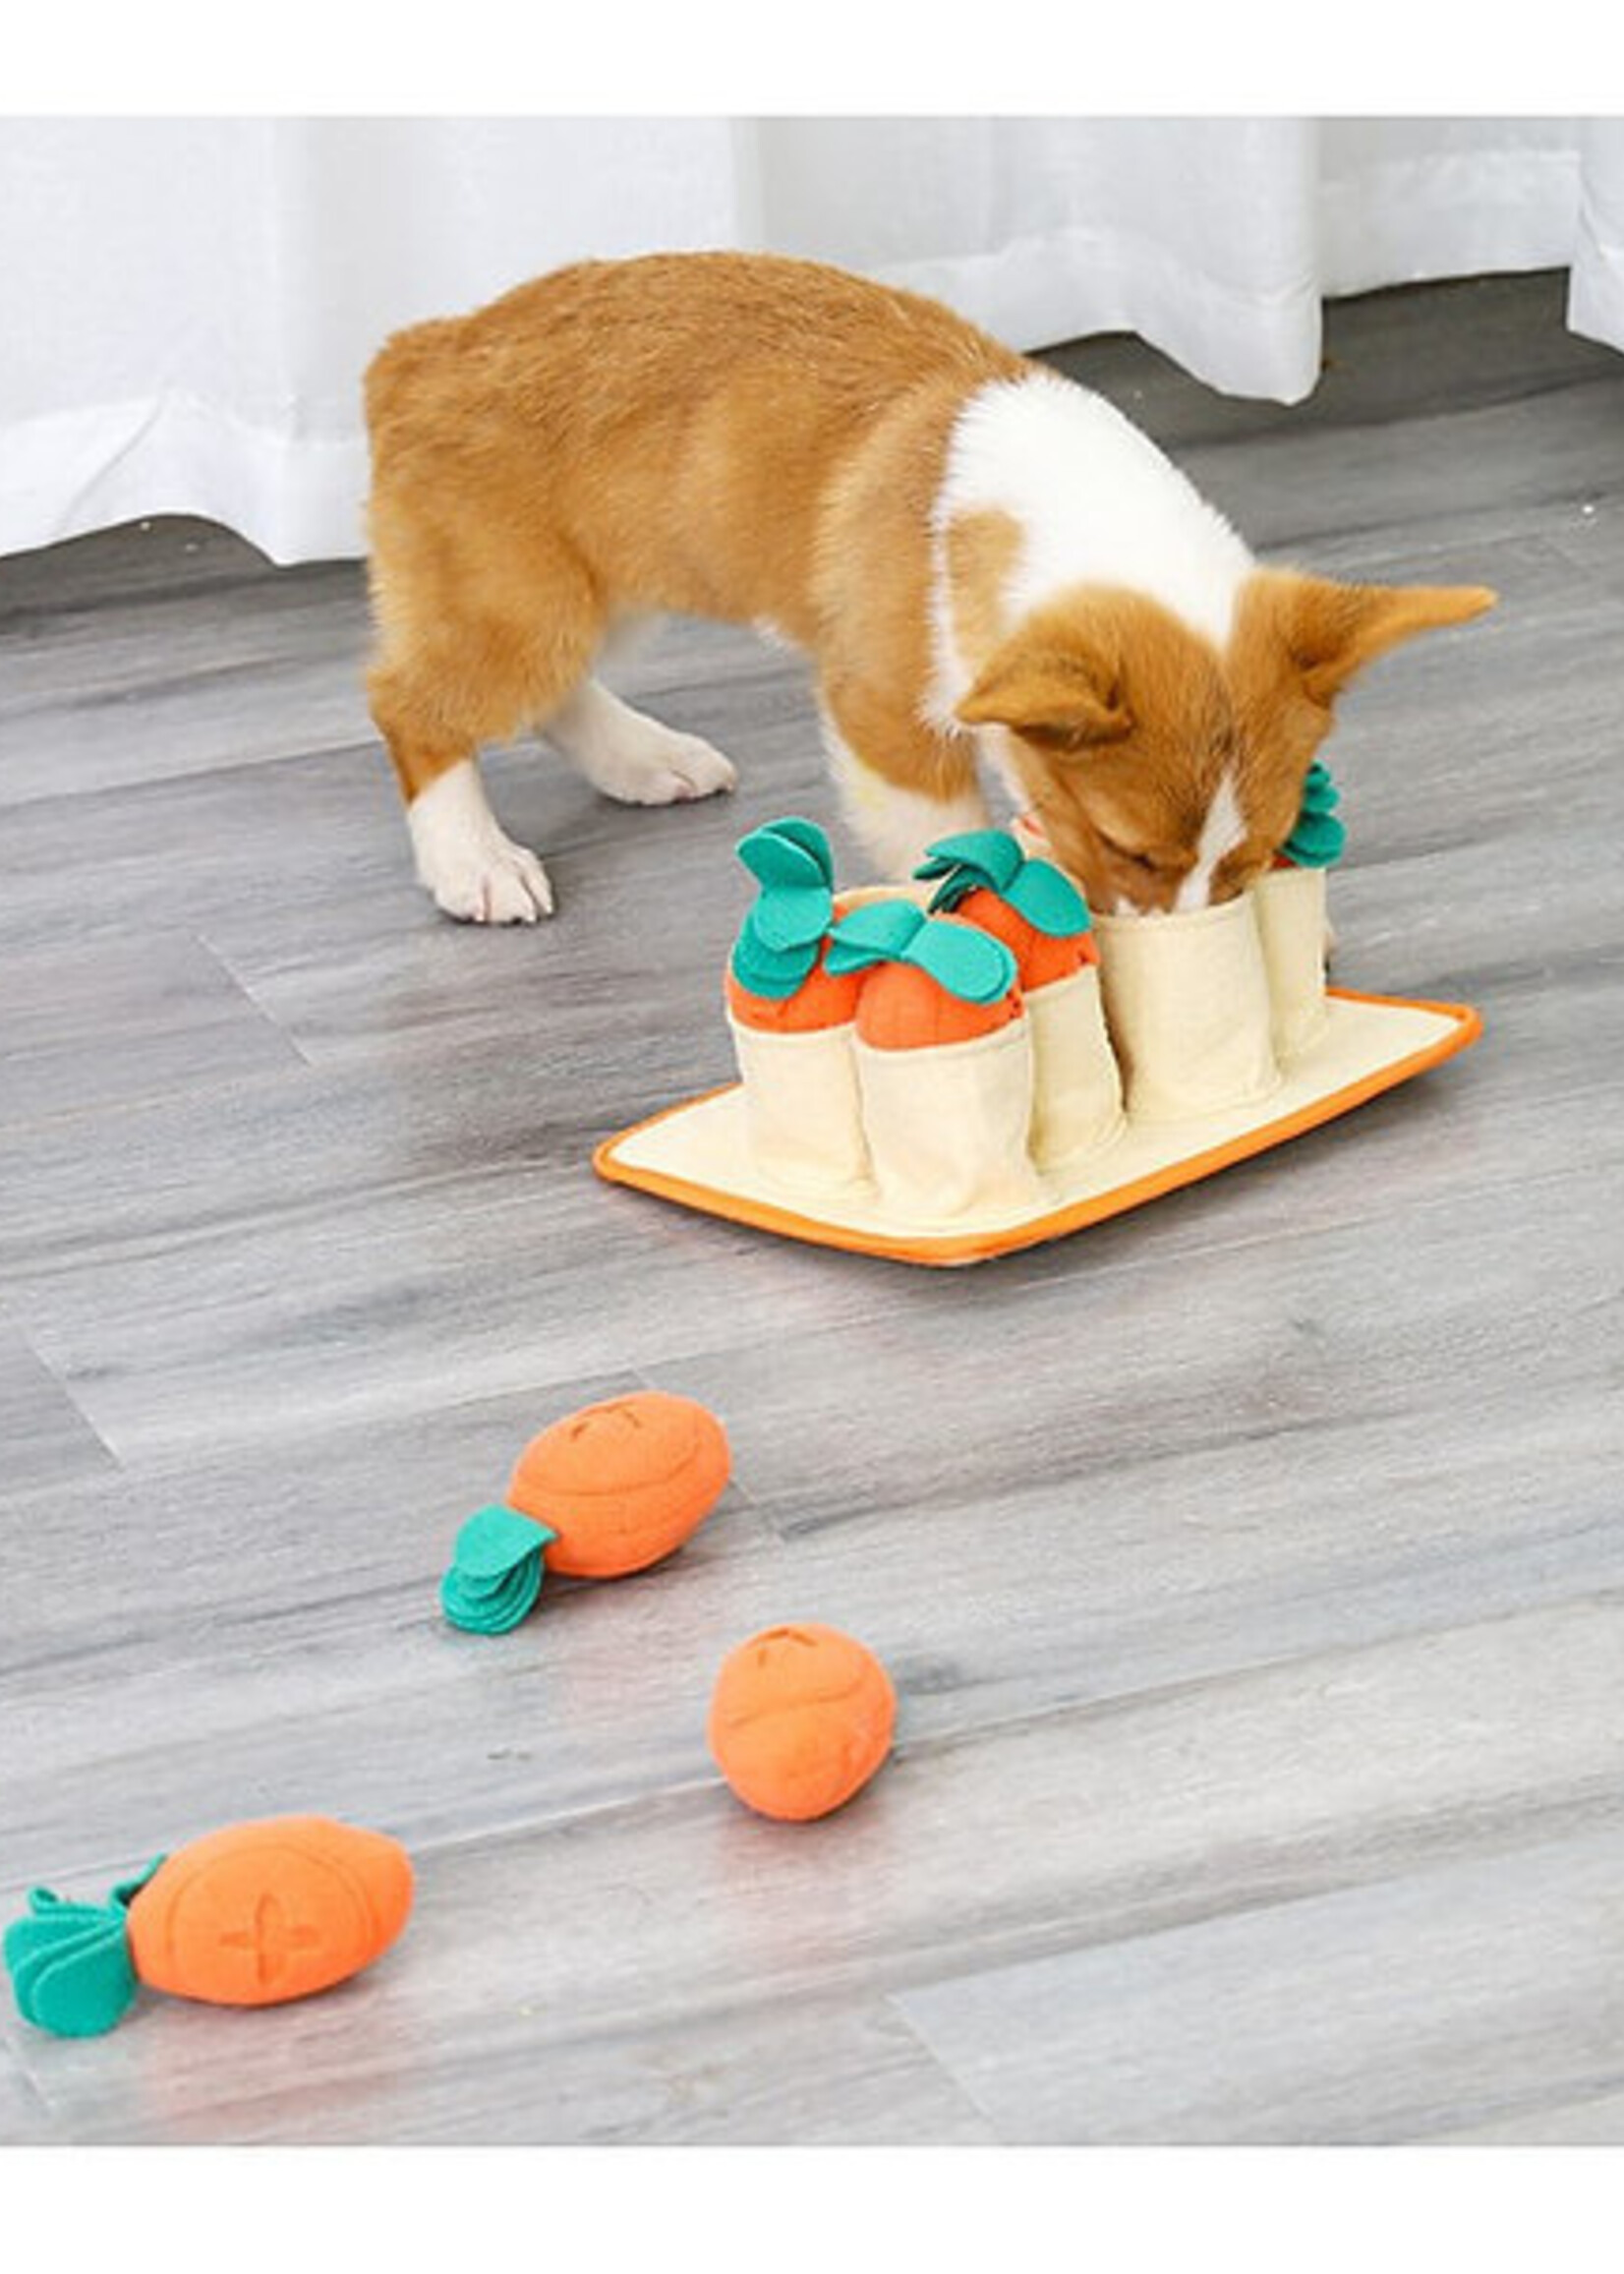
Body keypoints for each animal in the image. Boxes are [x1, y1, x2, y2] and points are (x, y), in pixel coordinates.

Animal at [364, 251, 1491, 923]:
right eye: (1123, 850)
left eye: (1253, 857)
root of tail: (416, 355)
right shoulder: (884, 714)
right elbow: (939, 835)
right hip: (526, 603)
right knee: (418, 705)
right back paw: (472, 860)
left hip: (614, 587)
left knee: (549, 695)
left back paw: (644, 759)